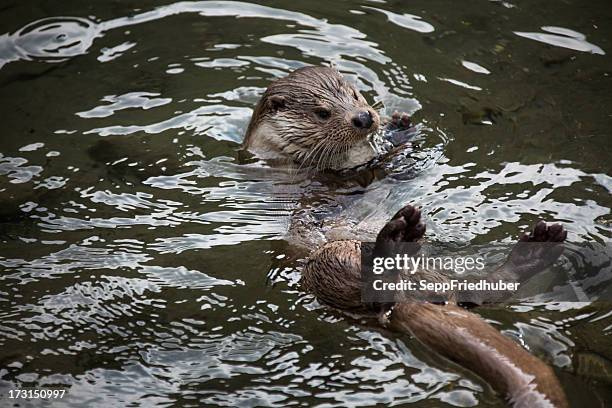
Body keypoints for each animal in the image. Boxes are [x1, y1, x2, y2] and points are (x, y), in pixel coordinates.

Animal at [244, 65, 568, 406]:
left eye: (355, 94)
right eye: (322, 113)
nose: (363, 118)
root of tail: (414, 298)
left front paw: (401, 129)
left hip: (442, 271)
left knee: (481, 291)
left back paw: (534, 252)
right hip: (326, 263)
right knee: (375, 295)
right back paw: (395, 242)